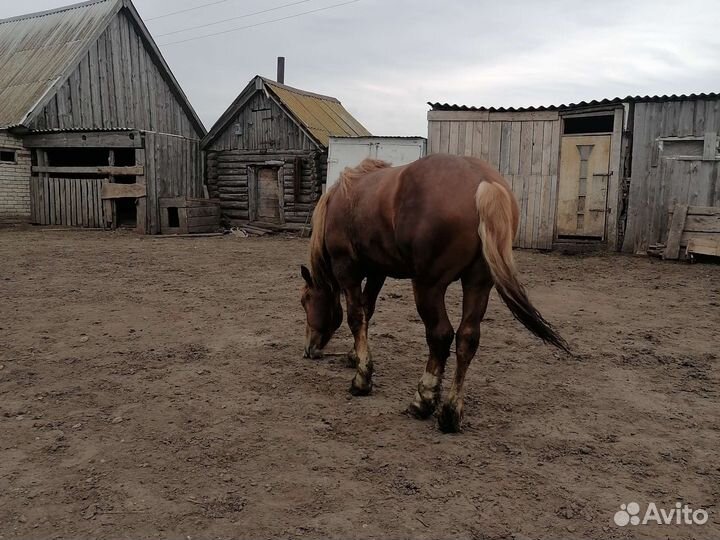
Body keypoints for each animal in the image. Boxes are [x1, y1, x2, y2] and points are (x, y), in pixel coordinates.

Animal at [300, 153, 569, 433]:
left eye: (305, 301)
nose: (309, 349)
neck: (342, 200)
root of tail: (483, 182)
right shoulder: (377, 271)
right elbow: (368, 310)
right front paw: (355, 356)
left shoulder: (348, 270)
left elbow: (356, 317)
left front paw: (362, 378)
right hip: (478, 283)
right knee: (467, 338)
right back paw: (451, 411)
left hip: (428, 286)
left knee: (440, 336)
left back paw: (423, 400)